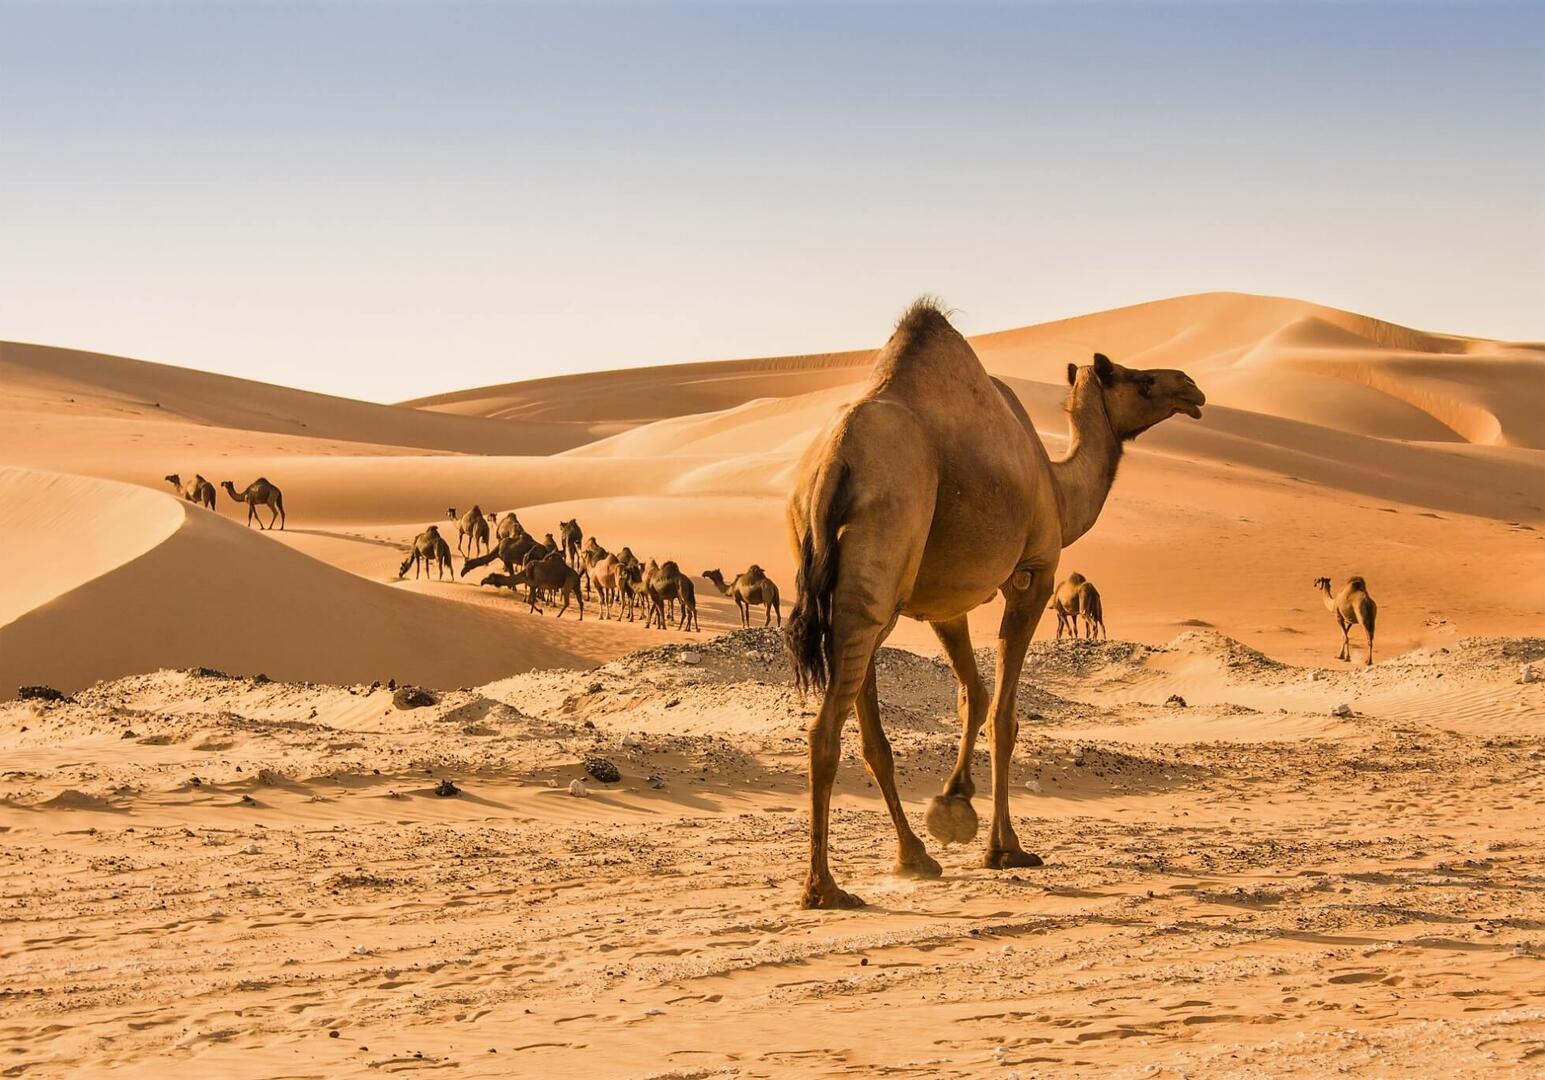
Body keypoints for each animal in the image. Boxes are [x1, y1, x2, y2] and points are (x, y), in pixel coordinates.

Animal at [783, 299, 1204, 908]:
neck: (1058, 487)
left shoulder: (943, 603)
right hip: (881, 561)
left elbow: (973, 697)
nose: (1191, 387)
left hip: (855, 589)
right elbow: (1004, 715)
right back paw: (825, 888)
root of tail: (833, 464)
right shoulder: (1034, 574)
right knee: (825, 731)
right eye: (1140, 379)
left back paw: (914, 857)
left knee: (868, 734)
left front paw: (953, 803)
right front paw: (1005, 848)